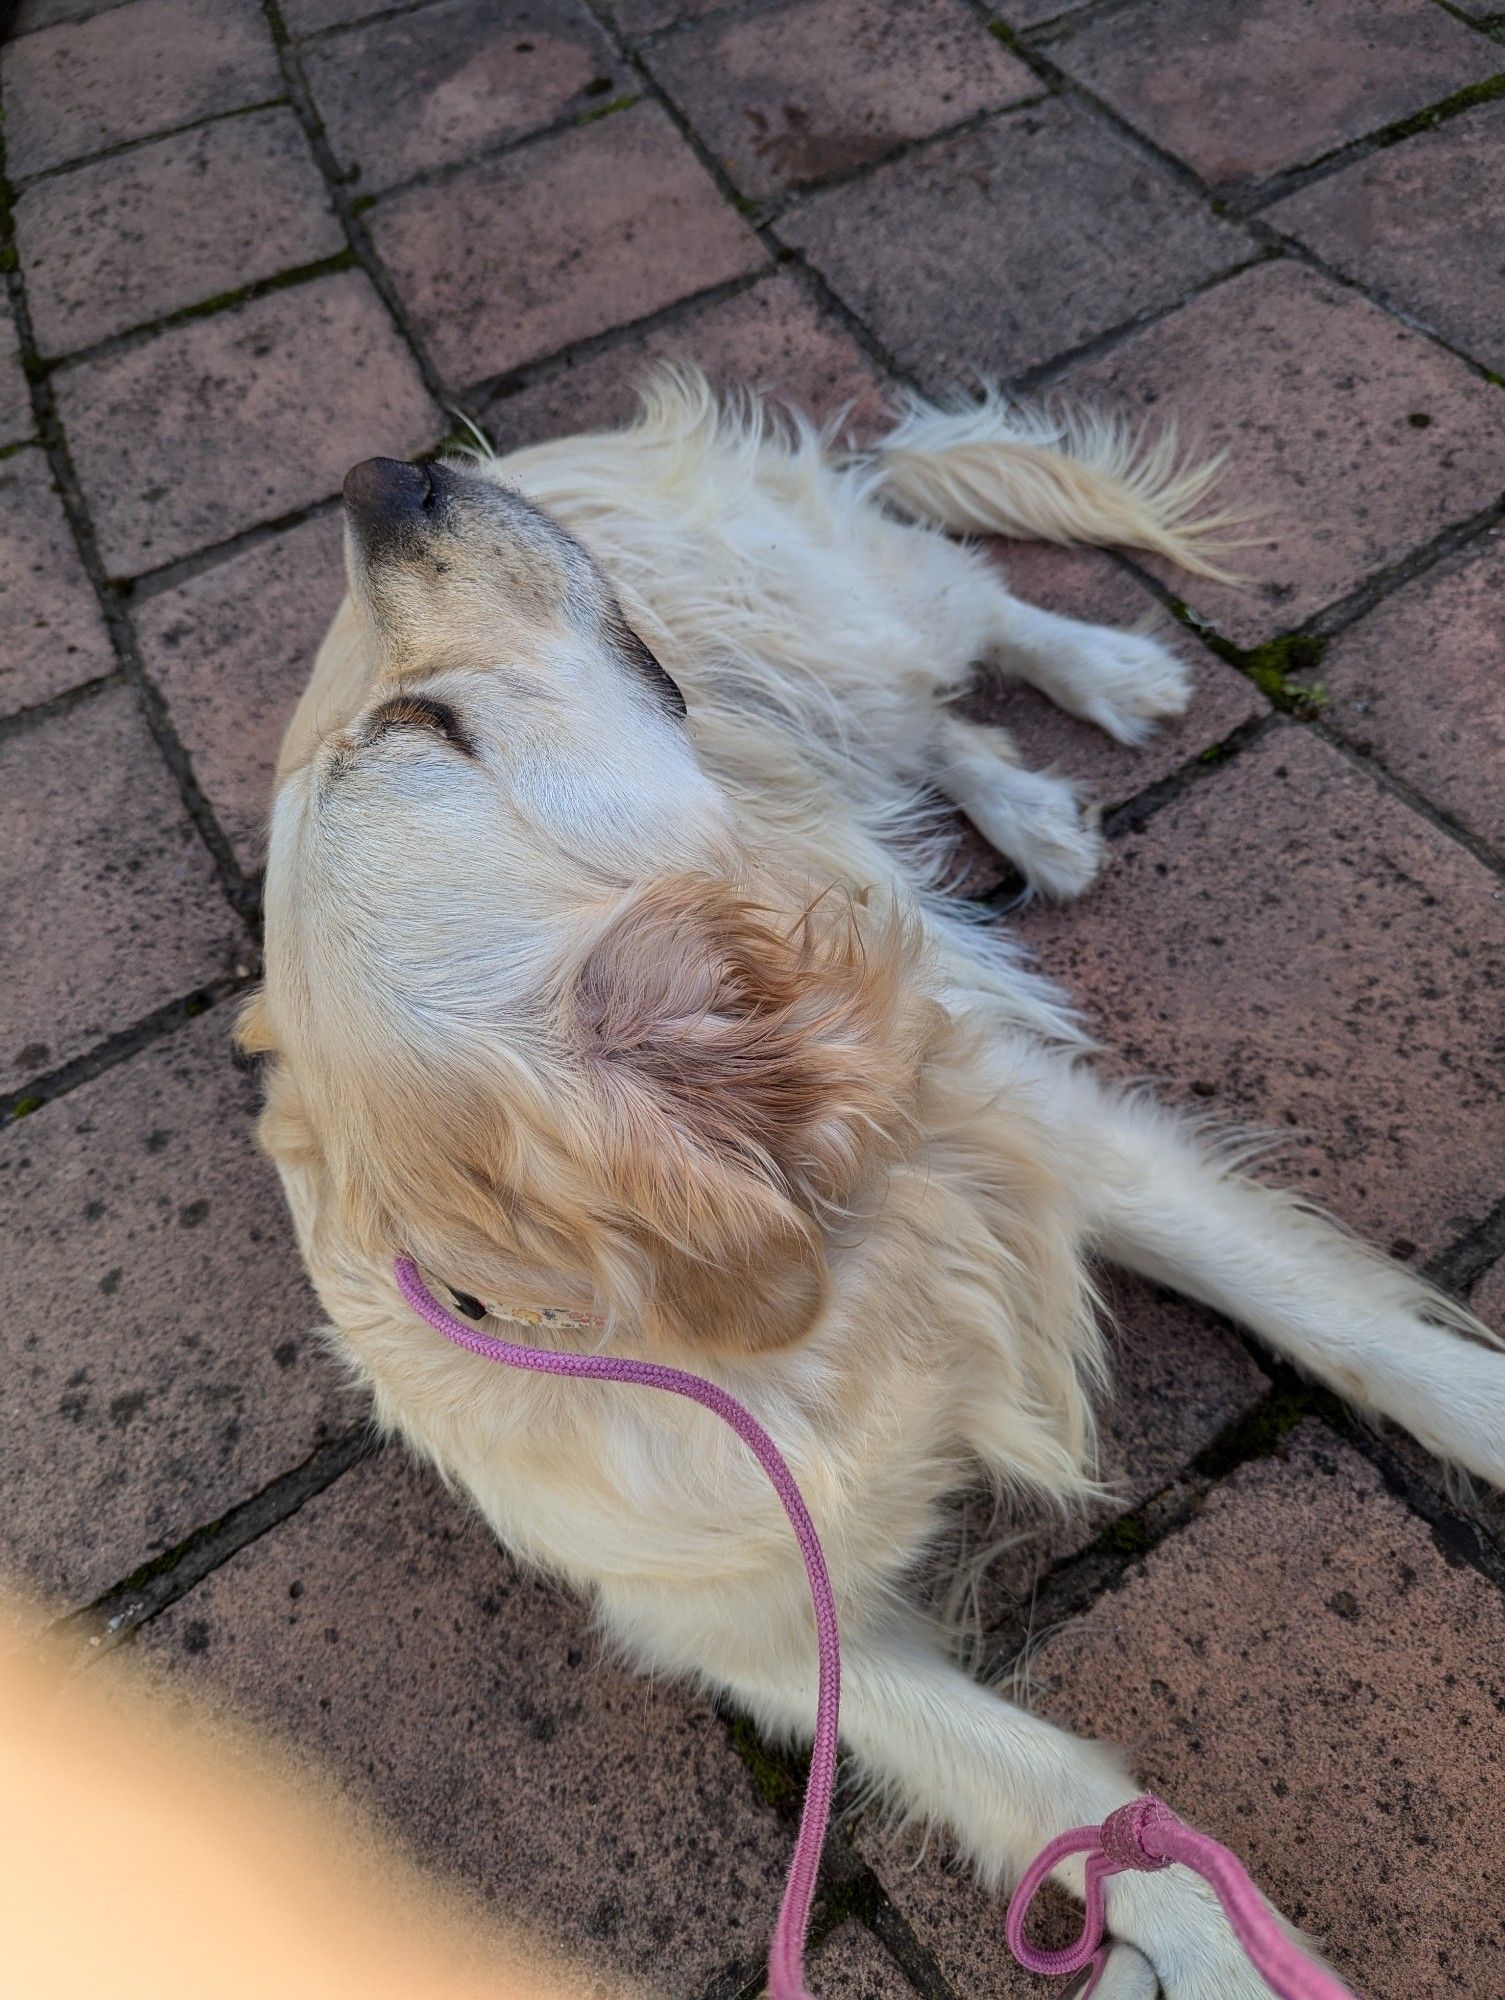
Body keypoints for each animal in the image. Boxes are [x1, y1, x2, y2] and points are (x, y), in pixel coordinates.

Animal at [247, 368, 1505, 1992]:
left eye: (410, 722)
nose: (380, 479)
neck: (817, 1260)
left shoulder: (1043, 1129)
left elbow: (1352, 1329)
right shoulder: (762, 1632)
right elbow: (1055, 1790)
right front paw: (1224, 1948)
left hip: (833, 619)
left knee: (961, 604)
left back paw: (1106, 672)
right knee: (929, 731)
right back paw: (1031, 814)